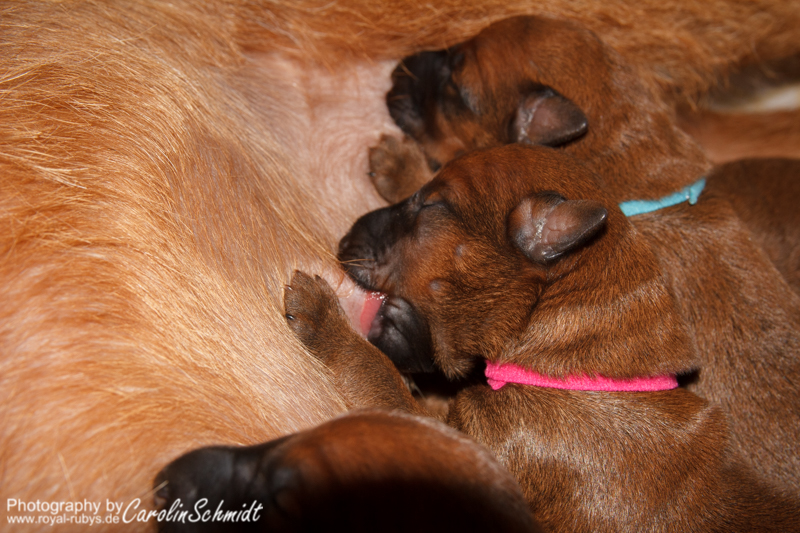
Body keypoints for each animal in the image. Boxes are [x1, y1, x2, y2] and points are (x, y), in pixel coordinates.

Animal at [287, 144, 800, 532]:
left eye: (431, 207)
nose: (346, 235)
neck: (582, 372)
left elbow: (379, 376)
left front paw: (325, 318)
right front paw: (402, 162)